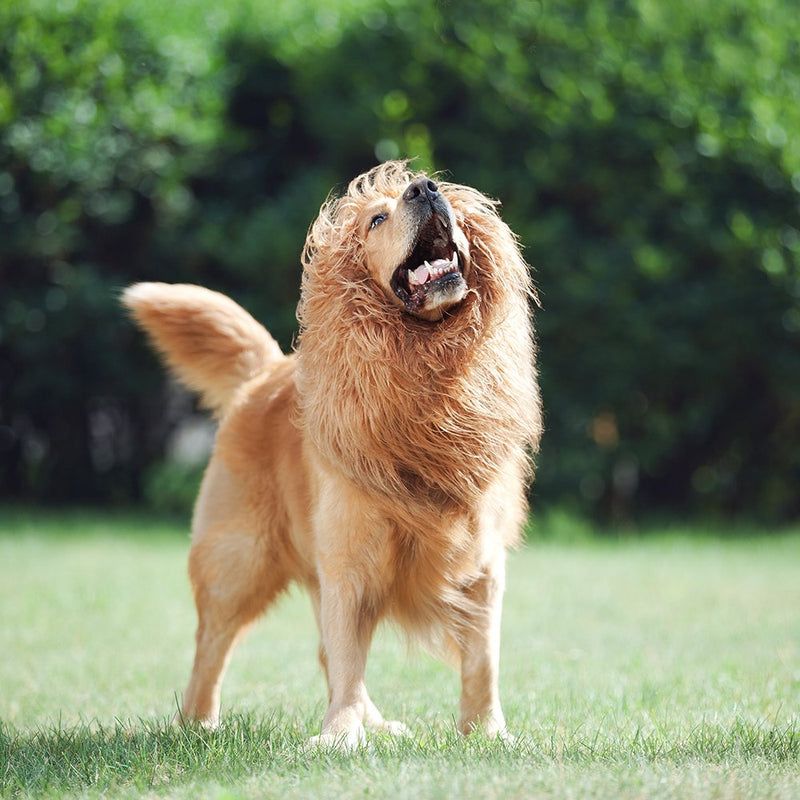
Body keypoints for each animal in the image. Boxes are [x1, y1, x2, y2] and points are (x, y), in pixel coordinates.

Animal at [122, 162, 540, 752]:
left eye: (440, 194)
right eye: (376, 220)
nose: (426, 189)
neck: (425, 371)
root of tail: (265, 371)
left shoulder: (480, 563)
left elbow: (483, 662)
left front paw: (486, 734)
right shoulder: (349, 559)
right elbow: (346, 658)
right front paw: (341, 735)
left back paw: (378, 723)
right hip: (237, 561)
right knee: (212, 646)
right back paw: (200, 725)